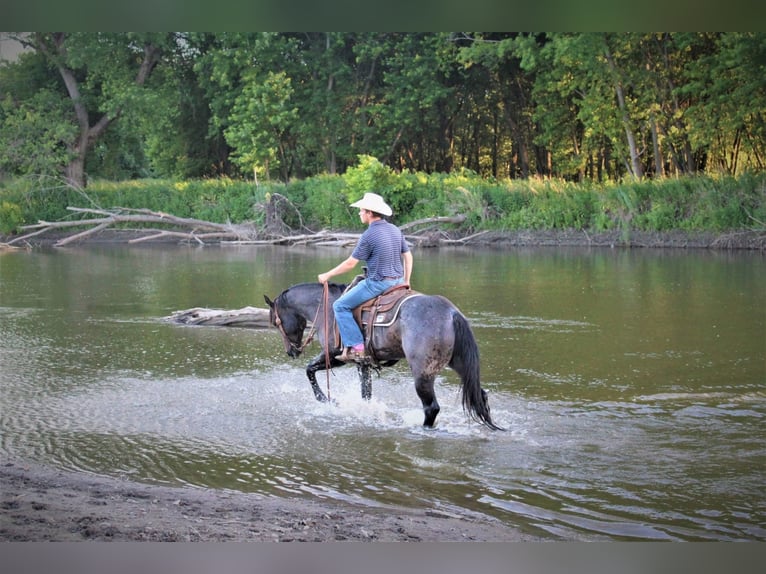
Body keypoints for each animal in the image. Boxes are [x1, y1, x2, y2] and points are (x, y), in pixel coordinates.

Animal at [264, 284, 504, 432]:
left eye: (276, 322)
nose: (291, 351)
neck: (326, 307)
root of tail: (452, 313)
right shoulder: (362, 364)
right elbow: (366, 393)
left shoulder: (335, 355)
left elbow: (309, 370)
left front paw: (326, 400)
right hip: (460, 364)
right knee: (480, 395)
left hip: (423, 373)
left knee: (431, 407)